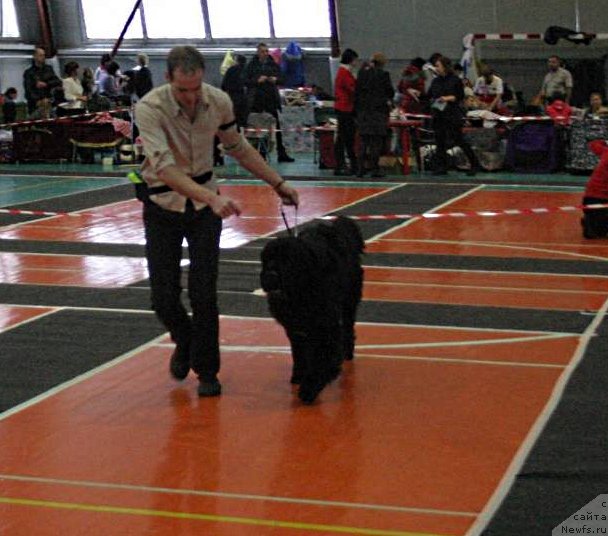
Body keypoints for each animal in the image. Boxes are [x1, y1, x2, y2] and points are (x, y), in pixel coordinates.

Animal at [258, 216, 364, 404]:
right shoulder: (295, 327)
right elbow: (300, 353)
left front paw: (309, 388)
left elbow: (323, 358)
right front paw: (299, 375)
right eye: (268, 259)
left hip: (348, 301)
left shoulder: (326, 327)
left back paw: (347, 353)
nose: (270, 276)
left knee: (348, 328)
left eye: (287, 260)